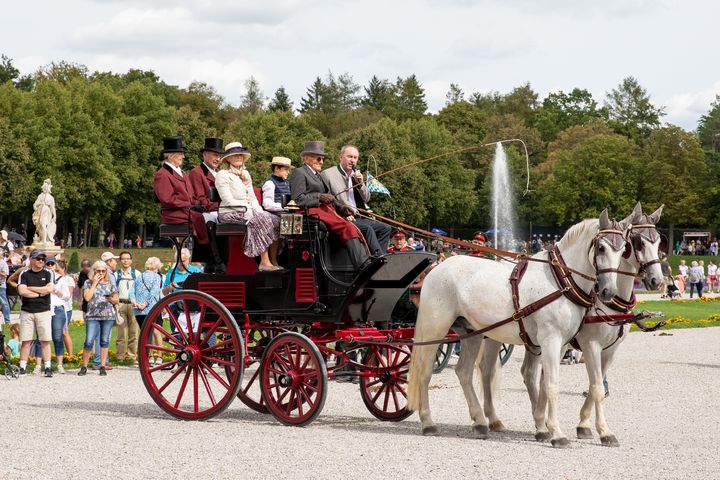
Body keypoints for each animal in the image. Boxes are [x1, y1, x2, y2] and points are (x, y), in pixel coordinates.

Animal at [408, 210, 628, 446]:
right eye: (601, 247)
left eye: (623, 250)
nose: (608, 291)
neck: (561, 281)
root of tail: (437, 267)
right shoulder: (552, 340)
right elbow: (552, 385)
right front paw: (557, 433)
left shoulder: (560, 344)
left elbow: (546, 384)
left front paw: (545, 428)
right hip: (435, 329)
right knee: (425, 371)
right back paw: (428, 422)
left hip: (471, 333)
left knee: (464, 372)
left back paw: (480, 422)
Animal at [476, 202, 668, 446]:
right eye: (638, 243)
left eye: (658, 241)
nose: (657, 280)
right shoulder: (589, 344)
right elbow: (595, 386)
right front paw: (601, 430)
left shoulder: (610, 349)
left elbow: (595, 384)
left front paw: (583, 424)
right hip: (494, 336)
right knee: (488, 371)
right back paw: (494, 419)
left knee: (528, 373)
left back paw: (537, 422)